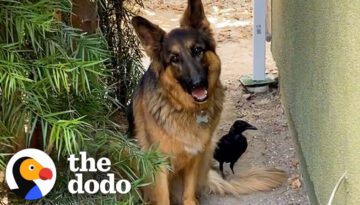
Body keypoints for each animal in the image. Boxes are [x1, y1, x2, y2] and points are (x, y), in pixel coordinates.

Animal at [129, 0, 286, 203]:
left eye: (197, 50)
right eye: (174, 59)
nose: (198, 83)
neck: (187, 109)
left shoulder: (196, 155)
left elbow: (189, 192)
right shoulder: (159, 163)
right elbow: (163, 197)